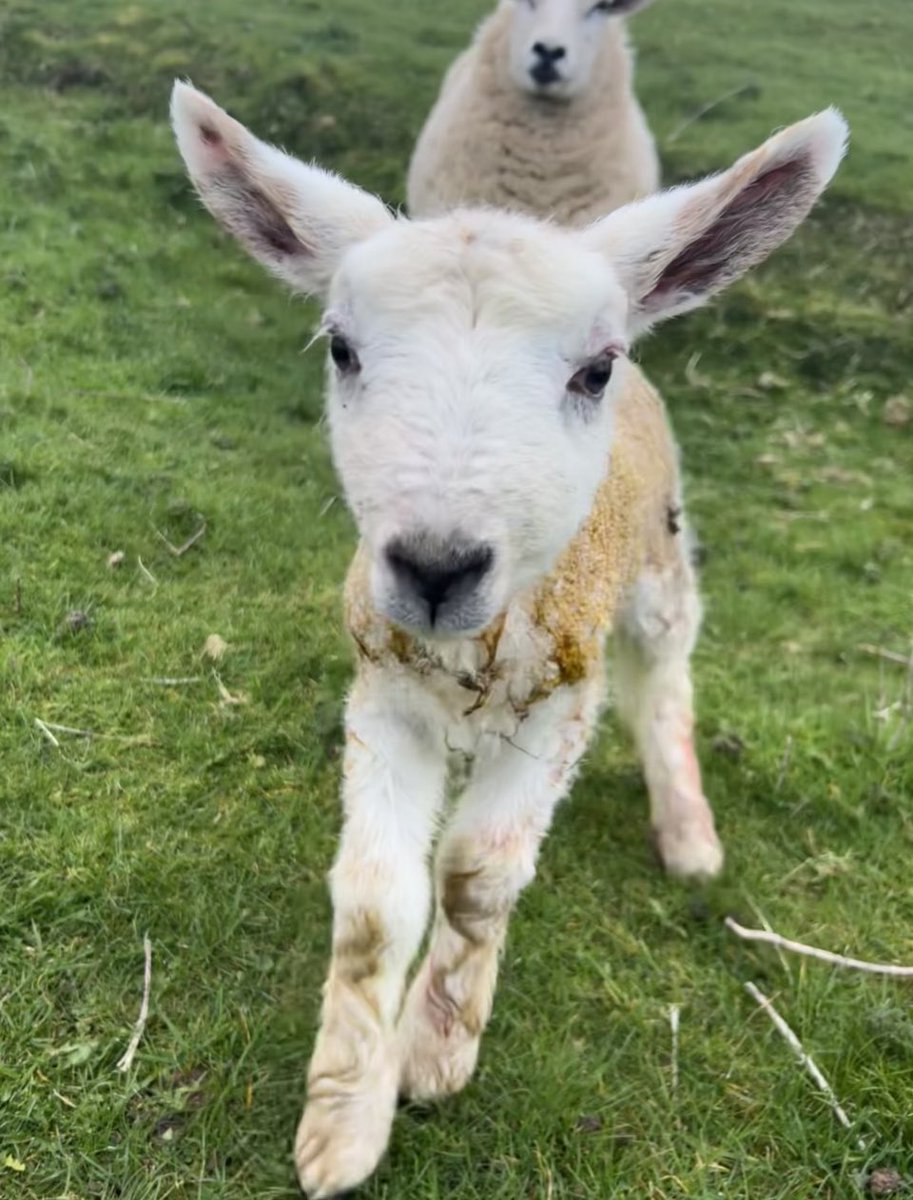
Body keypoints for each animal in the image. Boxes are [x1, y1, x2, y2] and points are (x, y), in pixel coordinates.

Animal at [170, 79, 849, 1195]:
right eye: (342, 348)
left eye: (592, 368)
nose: (436, 566)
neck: (469, 646)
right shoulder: (383, 694)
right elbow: (376, 905)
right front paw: (342, 1123)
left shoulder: (557, 706)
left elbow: (476, 875)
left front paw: (436, 1053)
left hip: (658, 573)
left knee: (665, 684)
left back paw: (688, 837)